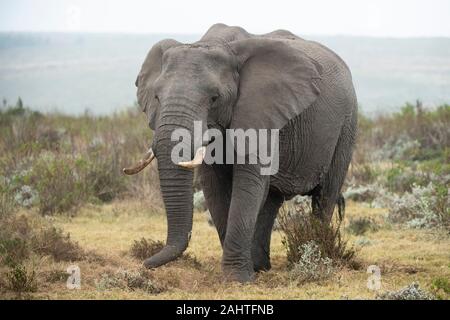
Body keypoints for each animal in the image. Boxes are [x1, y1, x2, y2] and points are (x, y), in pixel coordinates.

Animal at [122, 23, 356, 282]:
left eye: (214, 98)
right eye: (156, 96)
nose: (145, 263)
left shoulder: (260, 112)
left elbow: (248, 182)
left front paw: (236, 278)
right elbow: (214, 186)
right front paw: (241, 273)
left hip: (346, 125)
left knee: (325, 195)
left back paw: (316, 256)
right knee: (271, 199)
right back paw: (261, 266)